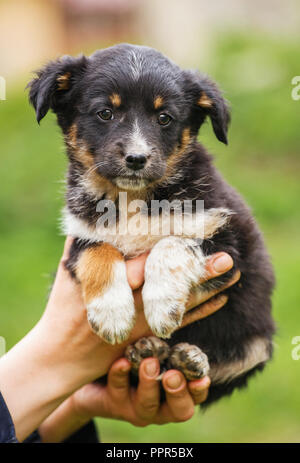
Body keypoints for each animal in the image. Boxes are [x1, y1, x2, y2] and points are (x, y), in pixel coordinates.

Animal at [27, 43, 274, 406]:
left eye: (164, 118)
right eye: (105, 113)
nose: (136, 159)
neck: (132, 198)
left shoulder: (228, 242)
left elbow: (171, 243)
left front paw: (162, 307)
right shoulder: (81, 235)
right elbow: (99, 253)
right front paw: (112, 314)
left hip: (257, 344)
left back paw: (188, 359)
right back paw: (147, 352)